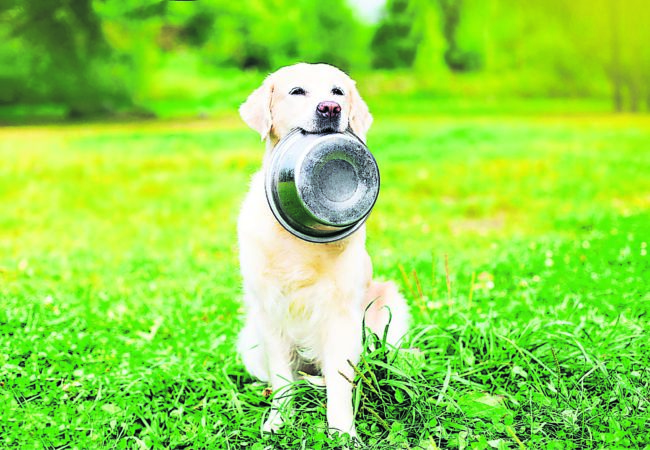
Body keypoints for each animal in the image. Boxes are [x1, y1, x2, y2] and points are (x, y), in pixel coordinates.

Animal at [235, 61, 408, 438]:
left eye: (337, 92)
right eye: (297, 91)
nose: (331, 108)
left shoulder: (342, 314)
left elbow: (340, 386)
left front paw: (342, 432)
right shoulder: (271, 311)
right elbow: (282, 378)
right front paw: (279, 420)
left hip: (390, 304)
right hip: (250, 338)